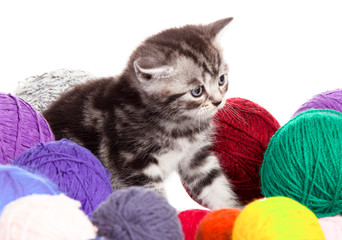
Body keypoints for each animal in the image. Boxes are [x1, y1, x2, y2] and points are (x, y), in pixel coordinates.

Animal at [44, 17, 239, 209]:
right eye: (197, 91)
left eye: (221, 79)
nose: (218, 101)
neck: (178, 123)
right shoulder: (136, 164)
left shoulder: (197, 157)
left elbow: (216, 186)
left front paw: (233, 211)